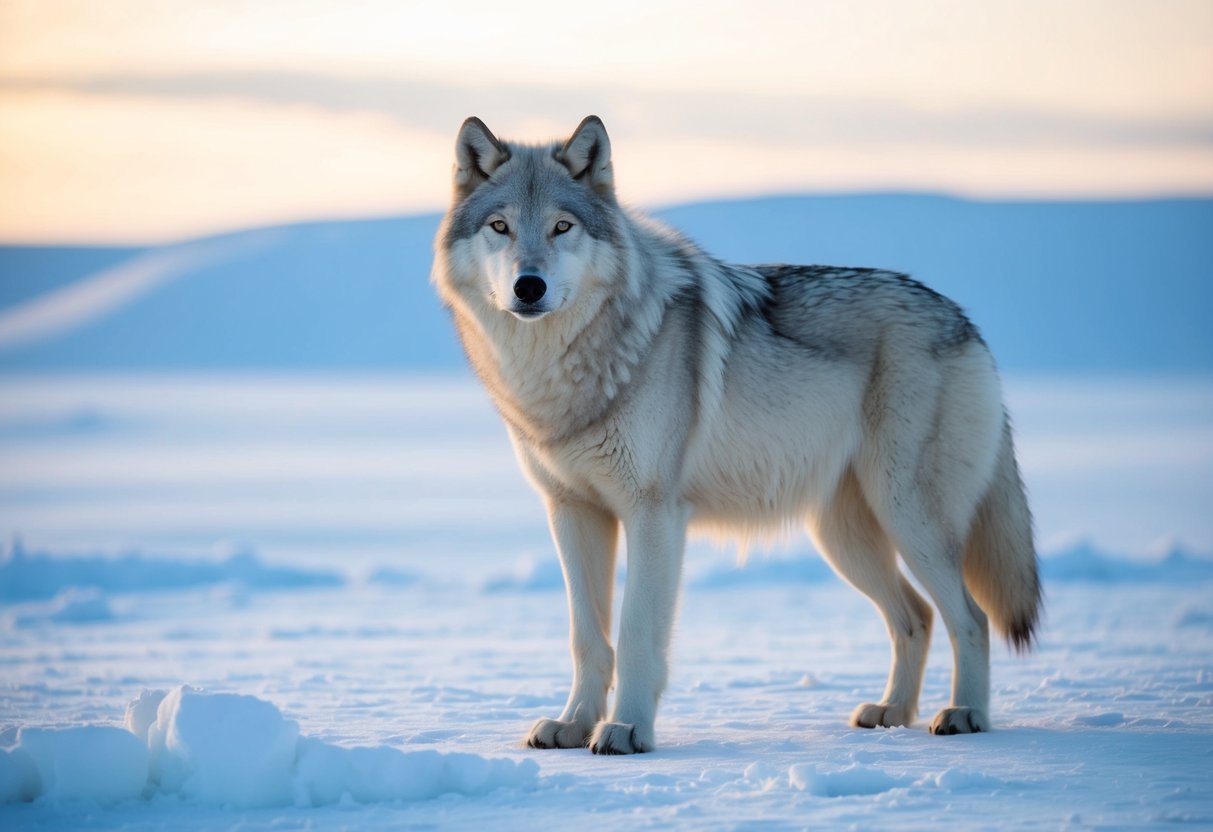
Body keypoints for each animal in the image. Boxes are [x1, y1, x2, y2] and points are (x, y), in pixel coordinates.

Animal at [431, 115, 1042, 755]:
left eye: (562, 227)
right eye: (500, 227)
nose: (529, 286)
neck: (565, 373)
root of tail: (964, 321)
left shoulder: (654, 514)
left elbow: (635, 633)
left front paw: (626, 730)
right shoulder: (572, 512)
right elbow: (586, 637)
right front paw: (573, 723)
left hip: (909, 518)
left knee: (970, 616)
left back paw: (965, 714)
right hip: (845, 537)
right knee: (917, 616)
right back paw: (891, 711)